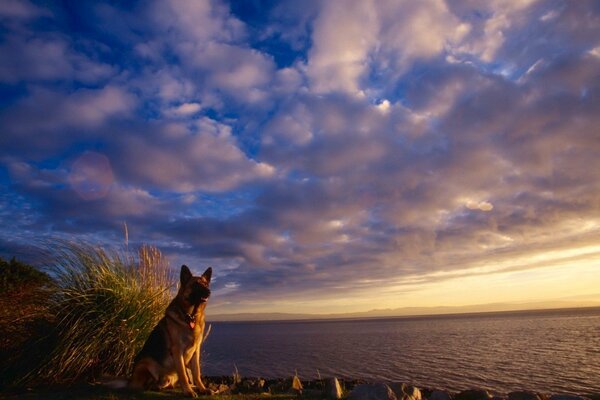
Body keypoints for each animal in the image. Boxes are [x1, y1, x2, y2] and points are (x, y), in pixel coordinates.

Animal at [109, 266, 214, 396]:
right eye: (195, 285)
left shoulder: (196, 351)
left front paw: (202, 388)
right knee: (143, 385)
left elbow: (196, 373)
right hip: (145, 364)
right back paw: (153, 386)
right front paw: (188, 392)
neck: (190, 317)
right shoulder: (177, 350)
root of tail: (130, 380)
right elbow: (183, 374)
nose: (209, 292)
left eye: (206, 284)